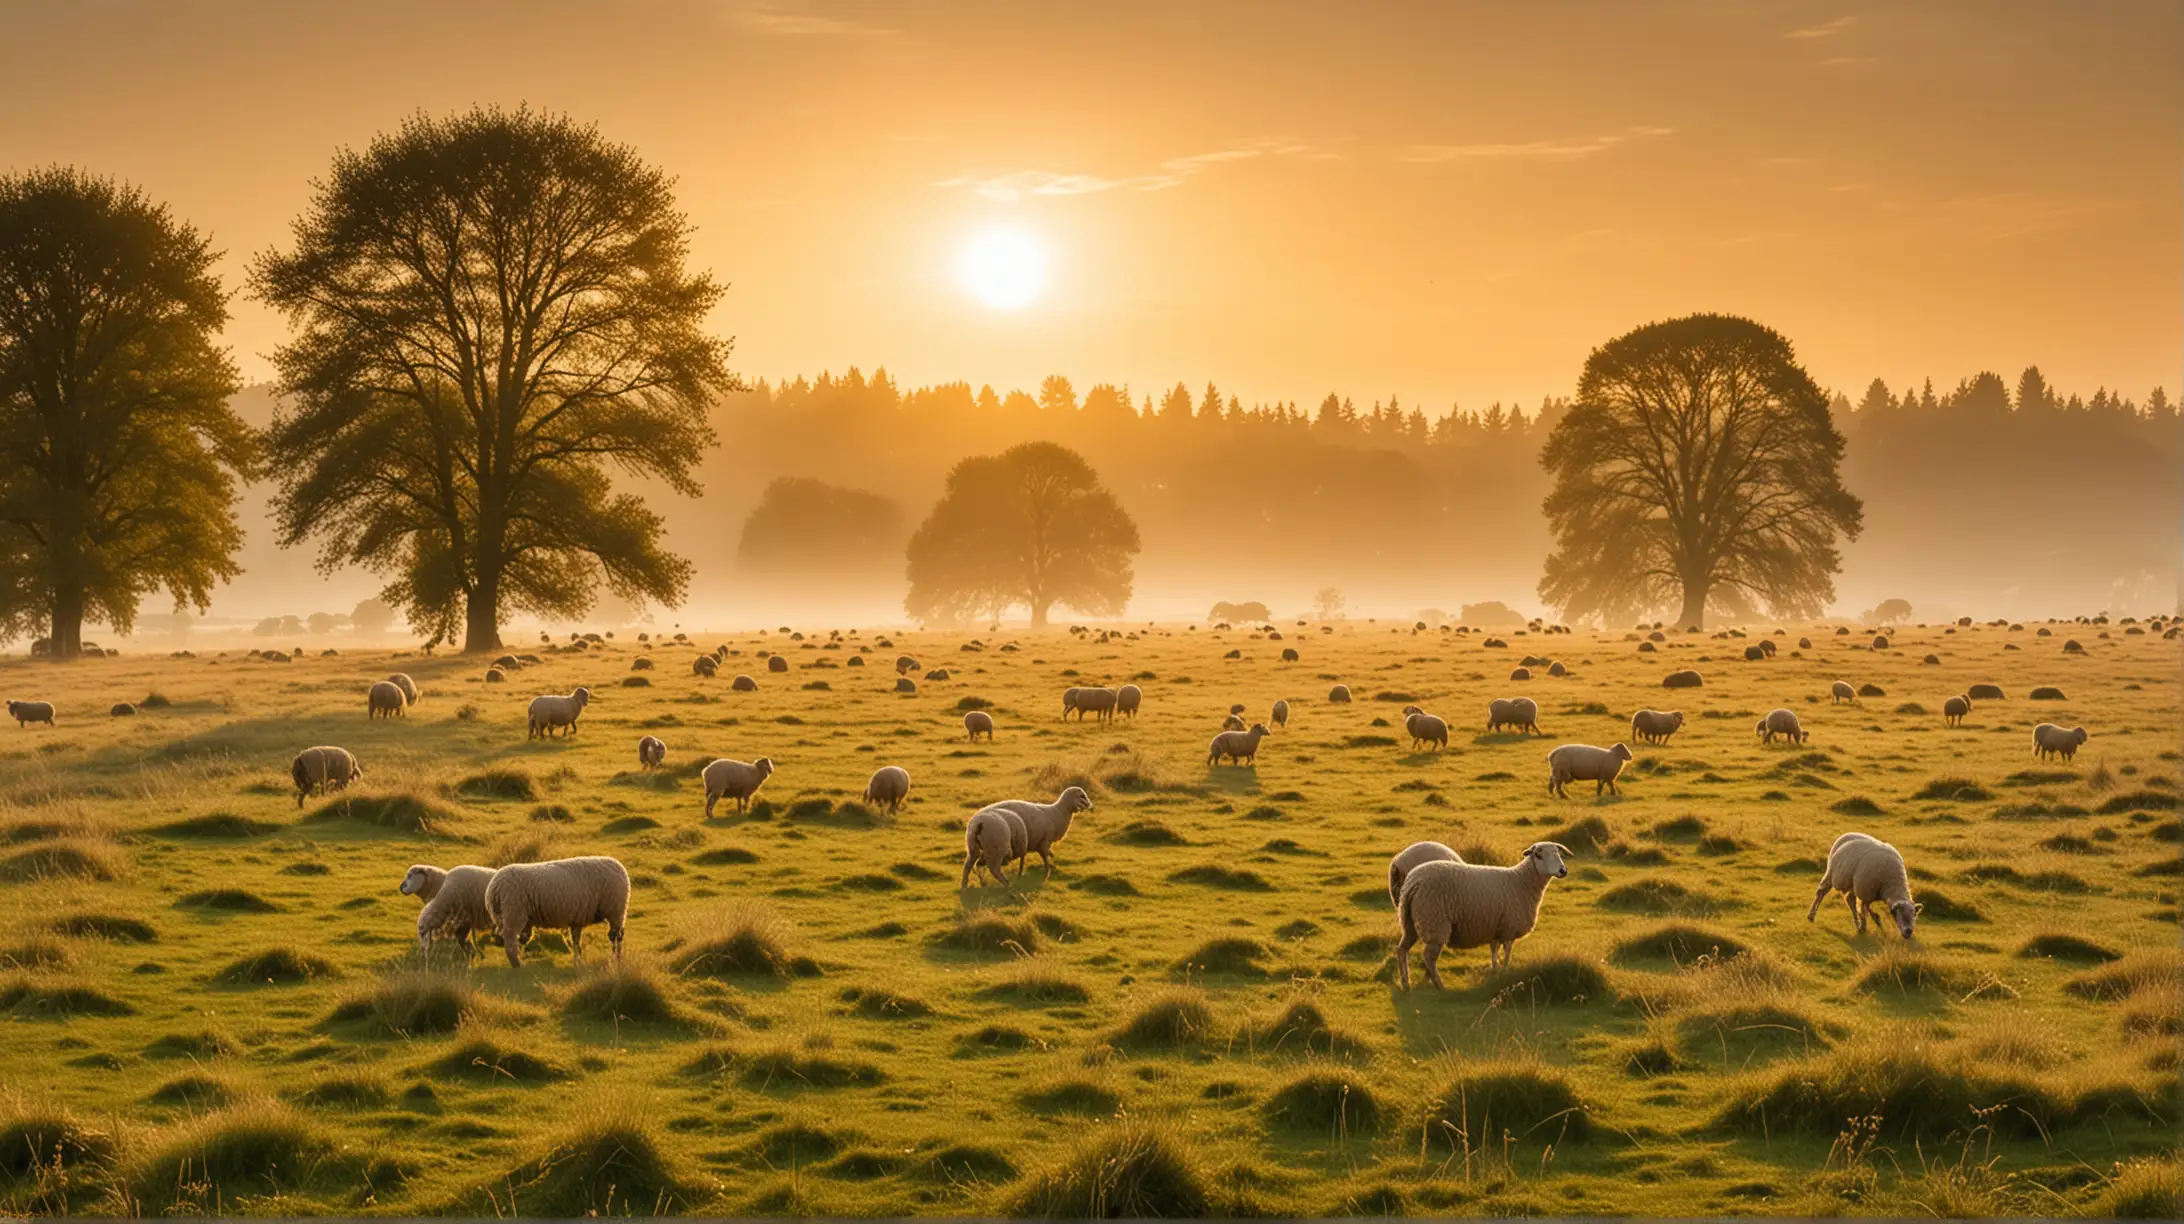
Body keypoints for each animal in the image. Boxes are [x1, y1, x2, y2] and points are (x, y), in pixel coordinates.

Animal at [487, 856, 633, 970]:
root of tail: (494, 888)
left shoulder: (577, 920)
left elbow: (576, 941)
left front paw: (578, 960)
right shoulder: (614, 914)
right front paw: (616, 959)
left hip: (506, 916)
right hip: (514, 912)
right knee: (510, 941)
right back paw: (516, 965)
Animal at [1397, 839, 1572, 983]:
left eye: (1558, 854)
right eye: (1539, 856)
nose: (1563, 871)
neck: (1522, 881)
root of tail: (1415, 881)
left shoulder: (1497, 927)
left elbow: (1494, 950)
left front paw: (1495, 970)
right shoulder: (1509, 928)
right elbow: (1507, 952)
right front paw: (1505, 971)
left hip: (1410, 922)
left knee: (1402, 950)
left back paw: (1407, 984)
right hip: (1434, 920)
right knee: (1428, 958)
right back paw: (1439, 986)